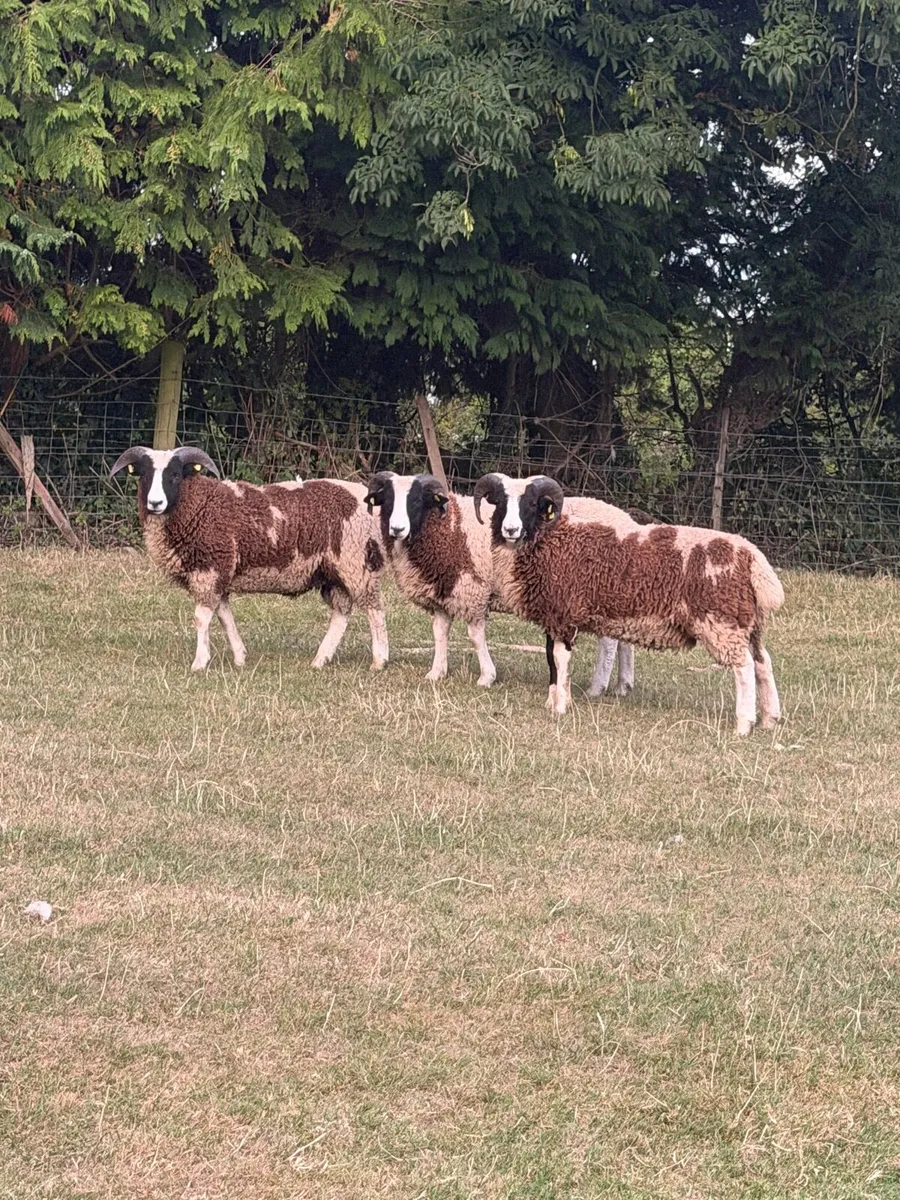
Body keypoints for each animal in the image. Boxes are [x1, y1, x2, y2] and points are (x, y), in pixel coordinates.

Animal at [110, 446, 388, 672]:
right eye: (144, 475)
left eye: (175, 475)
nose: (155, 503)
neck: (199, 505)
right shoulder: (219, 575)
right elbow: (225, 617)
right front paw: (240, 658)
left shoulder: (210, 570)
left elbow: (201, 618)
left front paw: (199, 663)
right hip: (333, 572)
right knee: (342, 613)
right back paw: (320, 660)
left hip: (357, 562)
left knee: (375, 610)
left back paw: (379, 661)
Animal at [473, 473, 784, 735]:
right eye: (500, 503)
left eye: (531, 504)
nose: (511, 529)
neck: (552, 541)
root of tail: (753, 559)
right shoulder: (553, 614)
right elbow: (550, 658)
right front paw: (554, 701)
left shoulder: (563, 612)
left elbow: (560, 659)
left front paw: (560, 706)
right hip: (748, 623)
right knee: (762, 661)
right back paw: (770, 719)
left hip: (722, 622)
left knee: (744, 667)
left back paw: (744, 724)